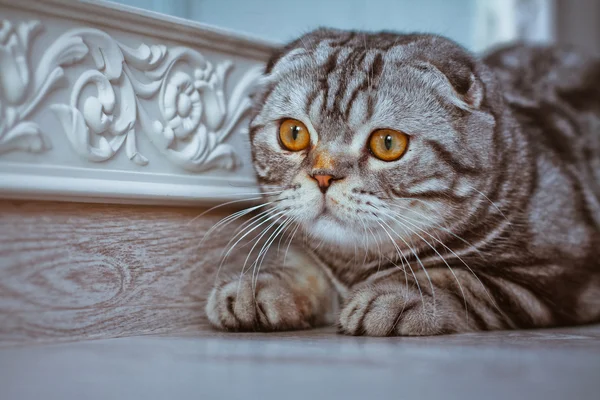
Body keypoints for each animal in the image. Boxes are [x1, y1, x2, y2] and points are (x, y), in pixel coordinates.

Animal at [204, 26, 596, 336]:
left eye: (388, 143)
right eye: (293, 133)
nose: (323, 175)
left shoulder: (558, 275)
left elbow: (461, 278)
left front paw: (396, 297)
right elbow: (303, 266)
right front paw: (259, 285)